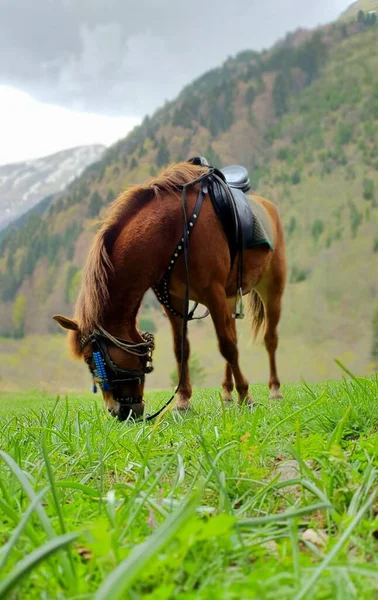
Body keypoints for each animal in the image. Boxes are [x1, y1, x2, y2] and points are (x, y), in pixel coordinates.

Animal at [54, 162, 286, 420]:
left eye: (90, 359)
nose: (116, 411)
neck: (174, 230)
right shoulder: (174, 300)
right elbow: (181, 349)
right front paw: (183, 401)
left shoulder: (213, 292)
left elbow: (227, 346)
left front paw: (246, 397)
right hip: (229, 296)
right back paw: (227, 393)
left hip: (272, 288)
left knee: (270, 339)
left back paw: (274, 390)